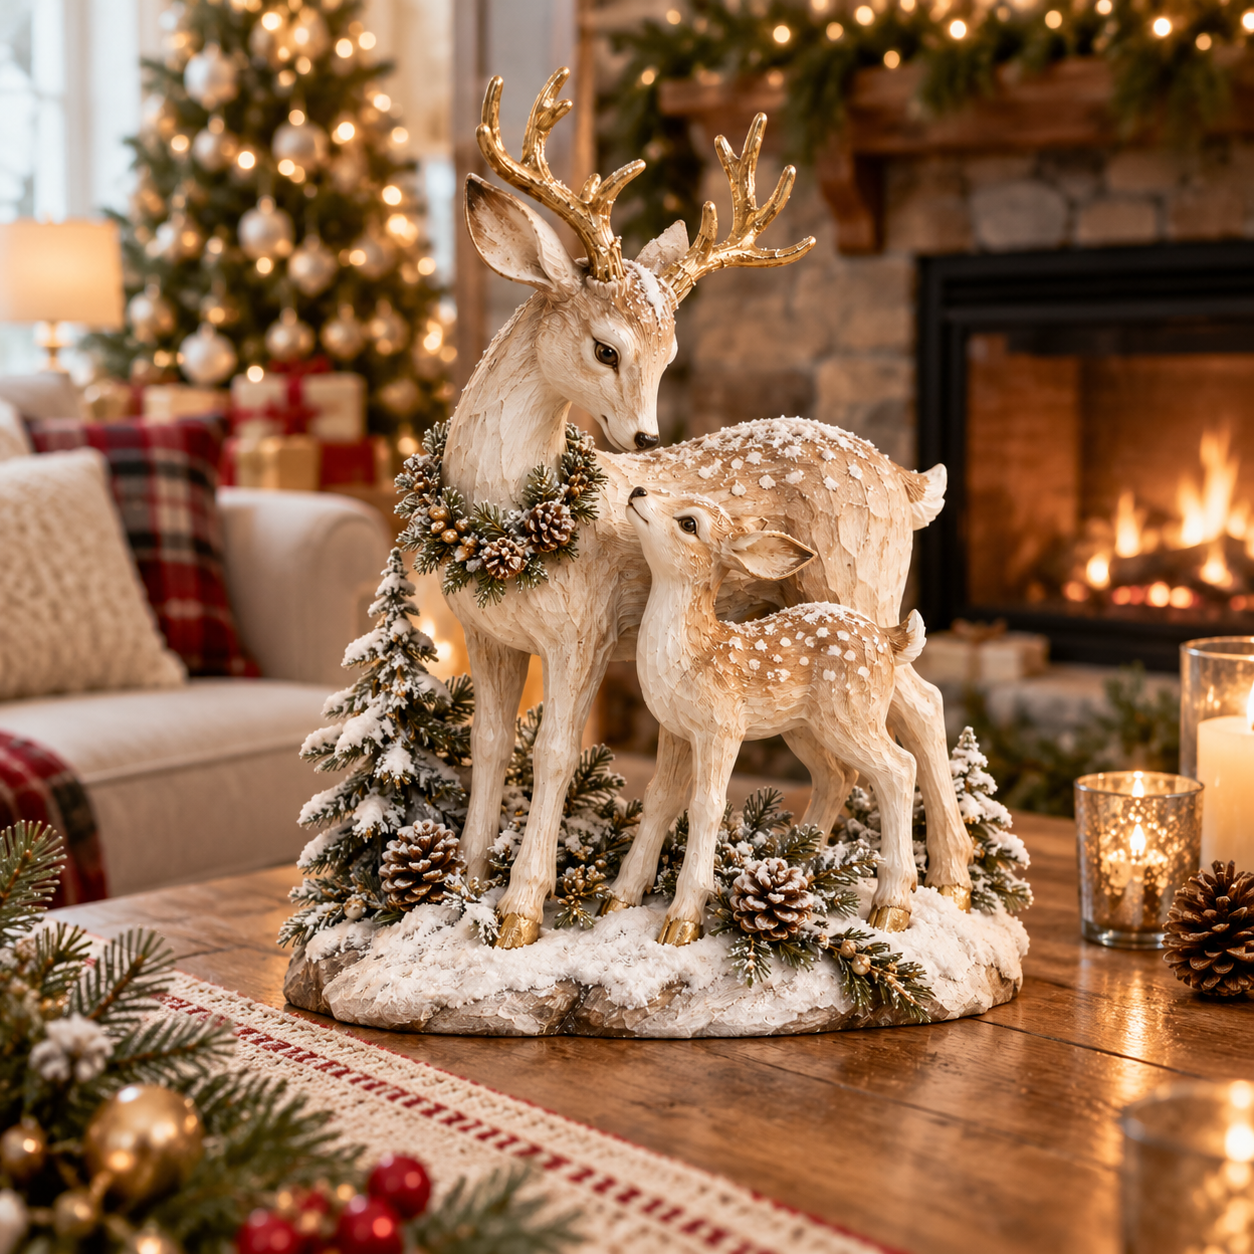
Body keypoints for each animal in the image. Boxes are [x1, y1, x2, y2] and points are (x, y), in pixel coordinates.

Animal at [627, 486, 927, 940]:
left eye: (689, 523)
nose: (638, 490)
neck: (694, 653)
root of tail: (890, 641)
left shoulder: (722, 726)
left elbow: (706, 805)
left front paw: (683, 918)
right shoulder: (674, 729)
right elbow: (659, 796)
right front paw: (621, 895)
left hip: (852, 712)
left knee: (899, 768)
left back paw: (891, 904)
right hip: (804, 728)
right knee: (838, 776)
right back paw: (802, 864)